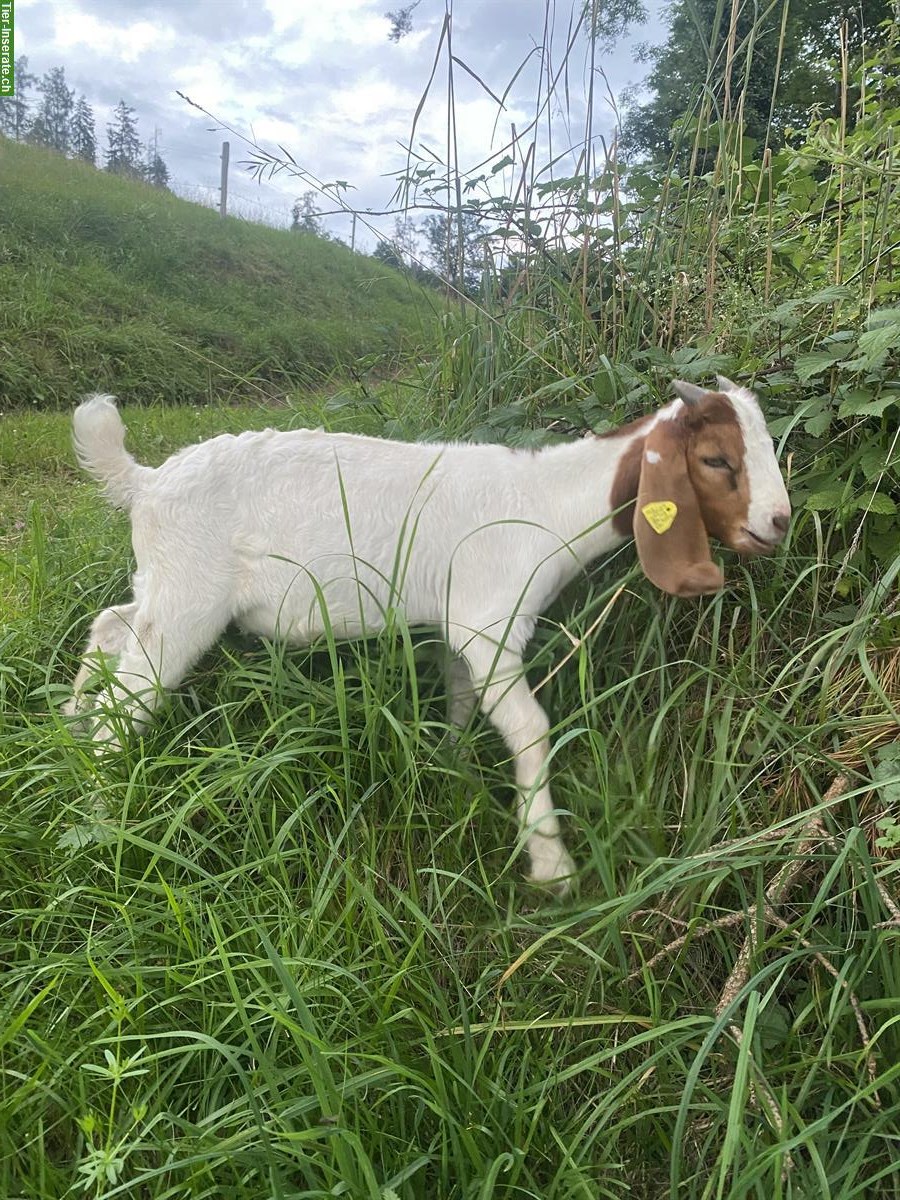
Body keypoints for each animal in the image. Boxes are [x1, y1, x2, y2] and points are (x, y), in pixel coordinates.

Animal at [68, 374, 787, 892]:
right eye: (716, 459)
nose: (778, 522)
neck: (548, 503)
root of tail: (146, 483)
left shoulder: (455, 626)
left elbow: (459, 697)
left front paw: (451, 766)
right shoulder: (489, 622)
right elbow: (530, 728)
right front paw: (551, 867)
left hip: (165, 582)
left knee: (110, 626)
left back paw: (70, 727)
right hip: (189, 599)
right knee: (129, 695)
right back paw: (100, 821)